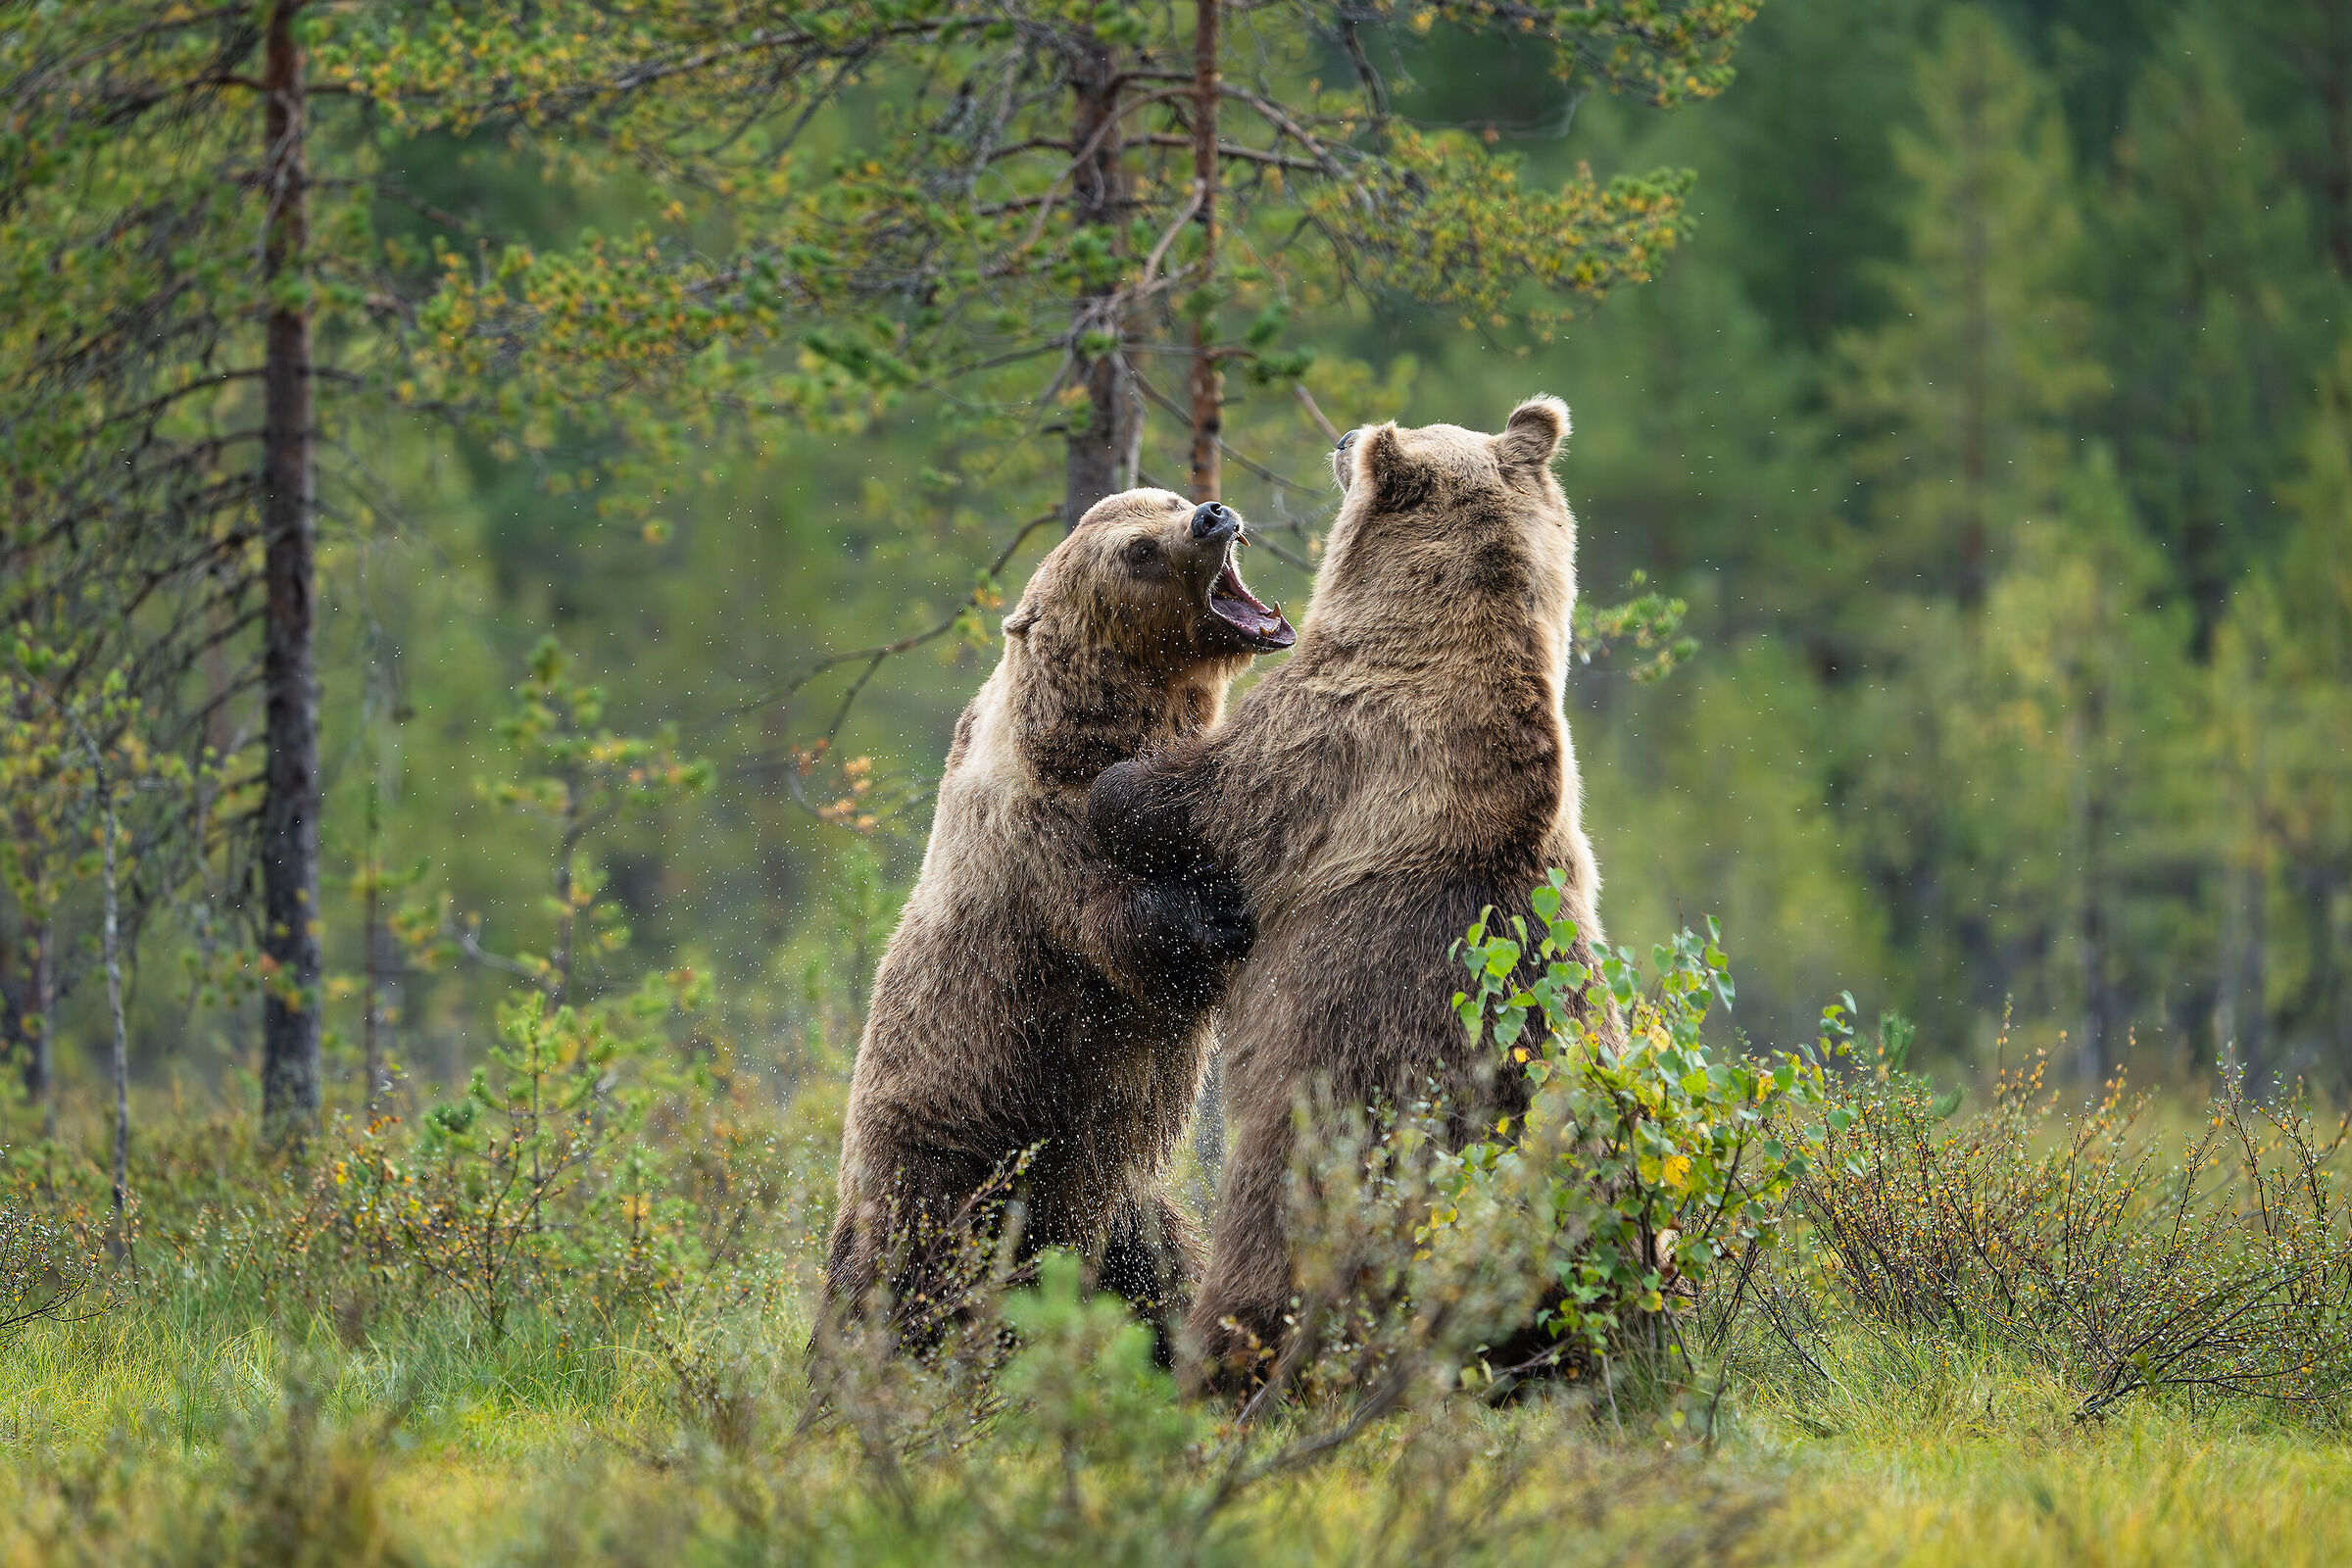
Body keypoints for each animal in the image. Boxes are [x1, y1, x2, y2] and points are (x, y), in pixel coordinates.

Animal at [818, 486, 1296, 1359]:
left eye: (1164, 498)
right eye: (1138, 552)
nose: (1212, 515)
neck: (1096, 734)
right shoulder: (1043, 848)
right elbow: (1133, 936)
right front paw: (1223, 911)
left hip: (1116, 1206)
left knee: (1153, 1273)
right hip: (958, 1154)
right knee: (904, 1285)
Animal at [1086, 398, 1609, 1390]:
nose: (1340, 438)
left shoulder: (1324, 750)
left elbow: (1195, 797)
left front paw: (1112, 787)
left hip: (1315, 1148)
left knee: (1264, 1265)